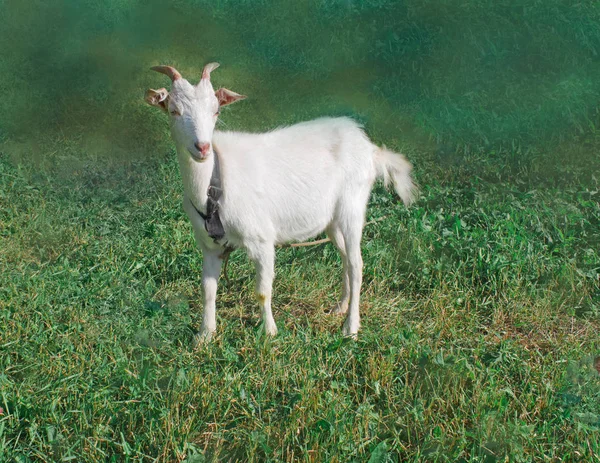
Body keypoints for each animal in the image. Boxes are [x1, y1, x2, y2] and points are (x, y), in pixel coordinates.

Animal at [146, 63, 418, 342]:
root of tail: (370, 149)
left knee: (356, 264)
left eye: (216, 110)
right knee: (344, 257)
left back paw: (350, 327)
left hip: (352, 205)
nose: (202, 148)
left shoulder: (261, 240)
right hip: (332, 219)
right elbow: (208, 290)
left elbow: (262, 291)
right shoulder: (210, 246)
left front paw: (269, 333)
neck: (215, 179)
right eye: (174, 110)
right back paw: (340, 307)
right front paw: (204, 336)